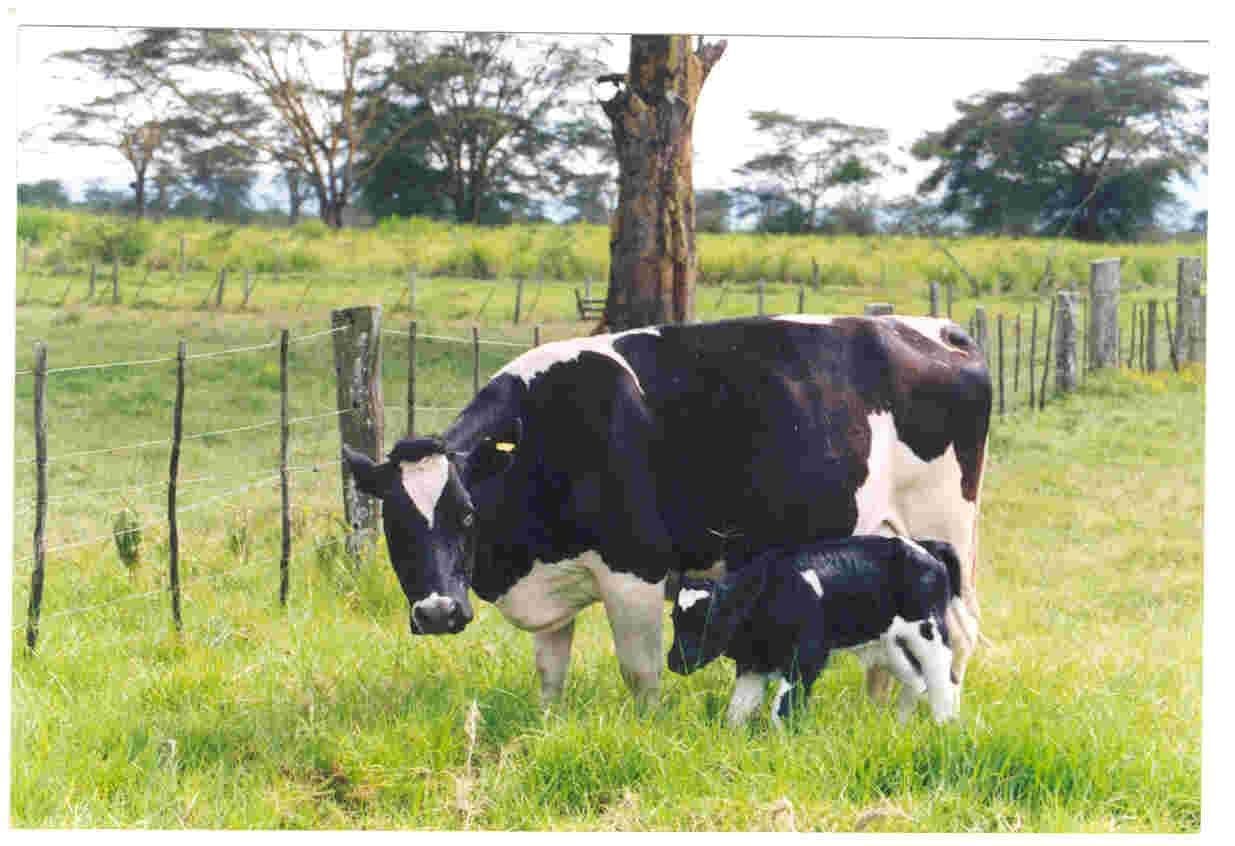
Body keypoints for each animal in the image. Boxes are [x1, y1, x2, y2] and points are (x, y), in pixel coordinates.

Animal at [668, 535, 964, 726]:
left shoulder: (807, 657)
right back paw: (899, 729)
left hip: (930, 634)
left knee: (943, 678)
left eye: (709, 619)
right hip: (887, 645)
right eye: (674, 618)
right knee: (916, 679)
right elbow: (738, 709)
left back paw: (944, 726)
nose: (674, 662)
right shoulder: (753, 662)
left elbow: (782, 709)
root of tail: (925, 546)